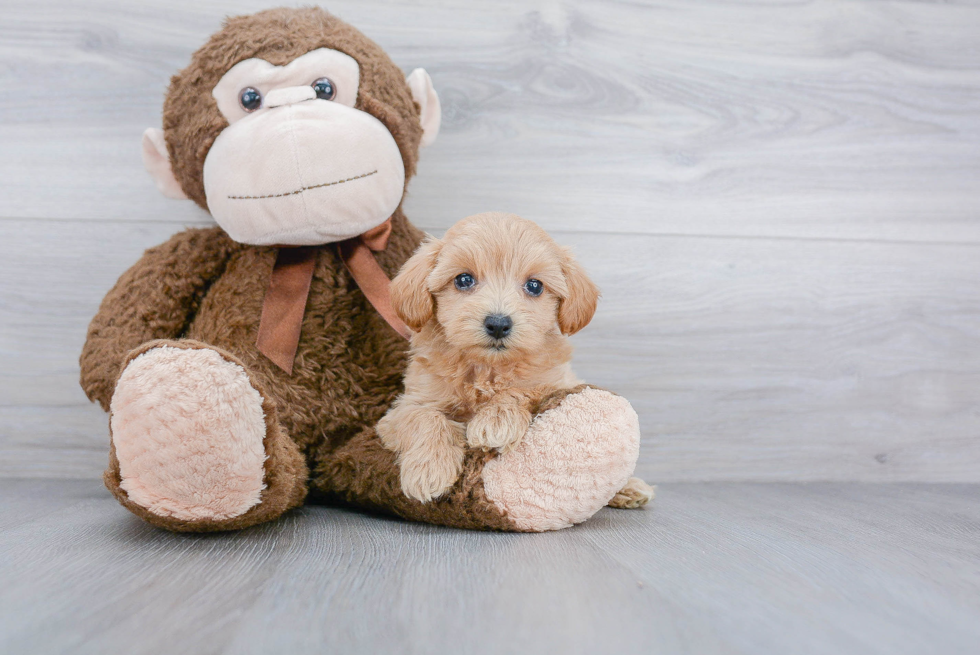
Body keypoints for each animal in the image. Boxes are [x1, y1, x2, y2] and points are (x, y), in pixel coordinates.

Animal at [378, 213, 612, 504]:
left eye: (534, 286)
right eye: (463, 280)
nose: (498, 324)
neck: (486, 369)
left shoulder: (557, 381)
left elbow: (524, 389)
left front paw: (497, 419)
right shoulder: (402, 409)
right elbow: (424, 417)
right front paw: (429, 468)